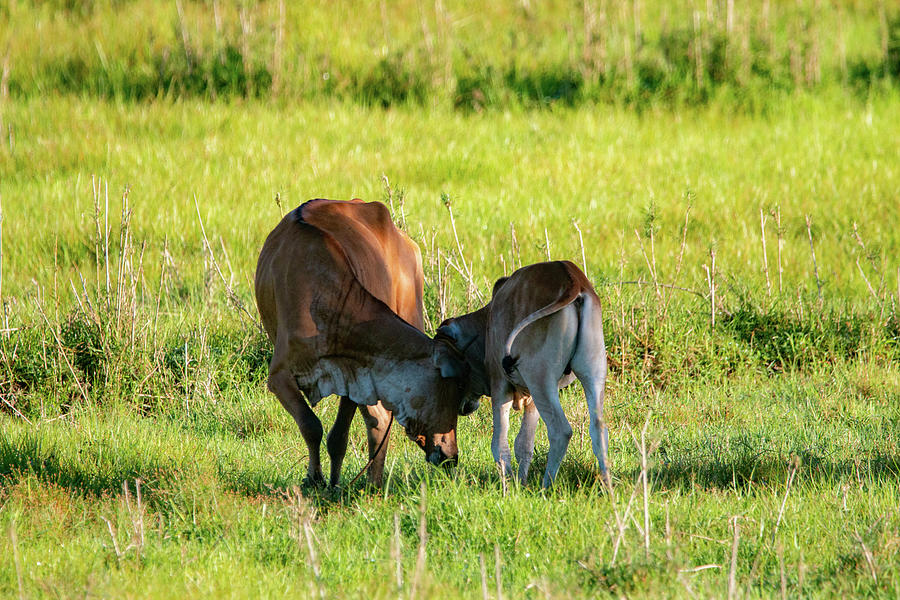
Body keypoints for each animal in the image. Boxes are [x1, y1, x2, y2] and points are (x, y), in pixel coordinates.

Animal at [255, 199, 478, 486]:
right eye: (451, 390)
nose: (451, 456)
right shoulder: (280, 376)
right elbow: (311, 425)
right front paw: (316, 479)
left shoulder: (358, 375)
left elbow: (339, 436)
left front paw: (334, 484)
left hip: (412, 311)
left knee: (379, 420)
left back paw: (374, 482)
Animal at [438, 262, 612, 488]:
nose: (461, 407)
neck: (486, 320)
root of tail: (573, 278)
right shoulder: (532, 398)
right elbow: (524, 444)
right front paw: (521, 483)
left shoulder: (500, 385)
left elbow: (499, 444)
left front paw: (508, 485)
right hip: (591, 373)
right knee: (599, 428)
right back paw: (607, 485)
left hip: (541, 379)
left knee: (561, 431)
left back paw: (547, 486)